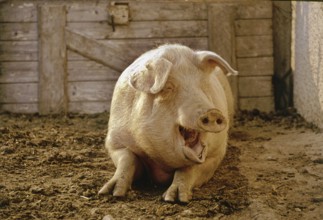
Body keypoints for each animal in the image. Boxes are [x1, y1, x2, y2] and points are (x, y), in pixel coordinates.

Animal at [98, 43, 238, 203]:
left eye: (204, 86)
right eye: (168, 88)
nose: (212, 112)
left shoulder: (217, 152)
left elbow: (188, 168)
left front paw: (174, 199)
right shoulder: (114, 142)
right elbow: (127, 160)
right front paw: (111, 193)